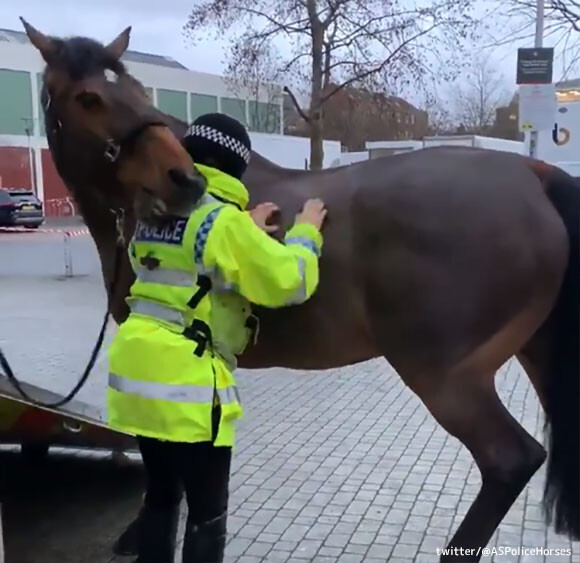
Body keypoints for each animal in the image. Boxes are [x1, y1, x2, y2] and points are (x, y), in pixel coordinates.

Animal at [20, 19, 576, 560]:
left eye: (134, 91)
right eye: (89, 97)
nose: (182, 179)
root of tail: (530, 173)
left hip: (447, 377)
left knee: (510, 460)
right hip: (533, 355)